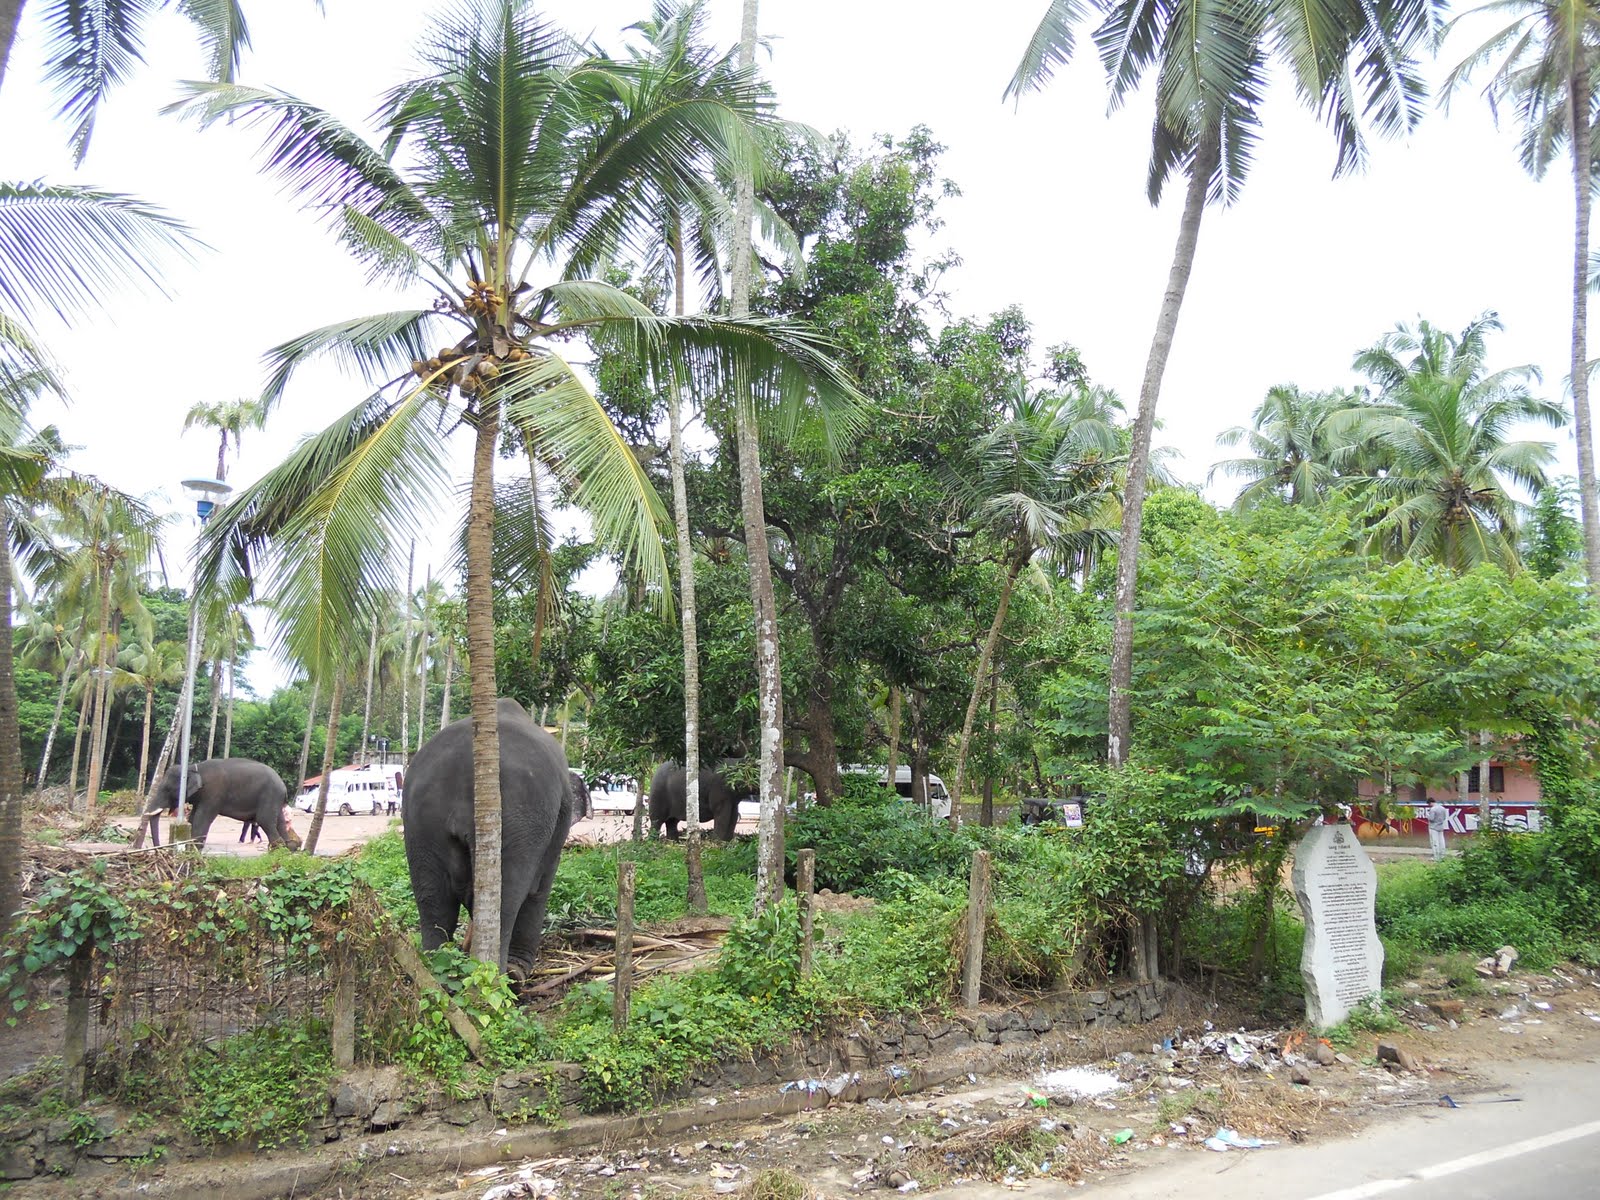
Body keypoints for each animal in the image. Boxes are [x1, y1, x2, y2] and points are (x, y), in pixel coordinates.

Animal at [145, 758, 294, 848]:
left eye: (168, 789)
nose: (159, 848)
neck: (193, 767)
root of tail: (283, 785)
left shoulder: (213, 794)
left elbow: (201, 819)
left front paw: (195, 849)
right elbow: (192, 818)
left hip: (270, 795)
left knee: (265, 820)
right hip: (275, 799)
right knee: (279, 822)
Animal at [403, 698, 573, 974]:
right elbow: (540, 886)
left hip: (420, 820)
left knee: (432, 896)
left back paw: (437, 969)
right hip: (519, 817)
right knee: (507, 898)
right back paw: (506, 974)